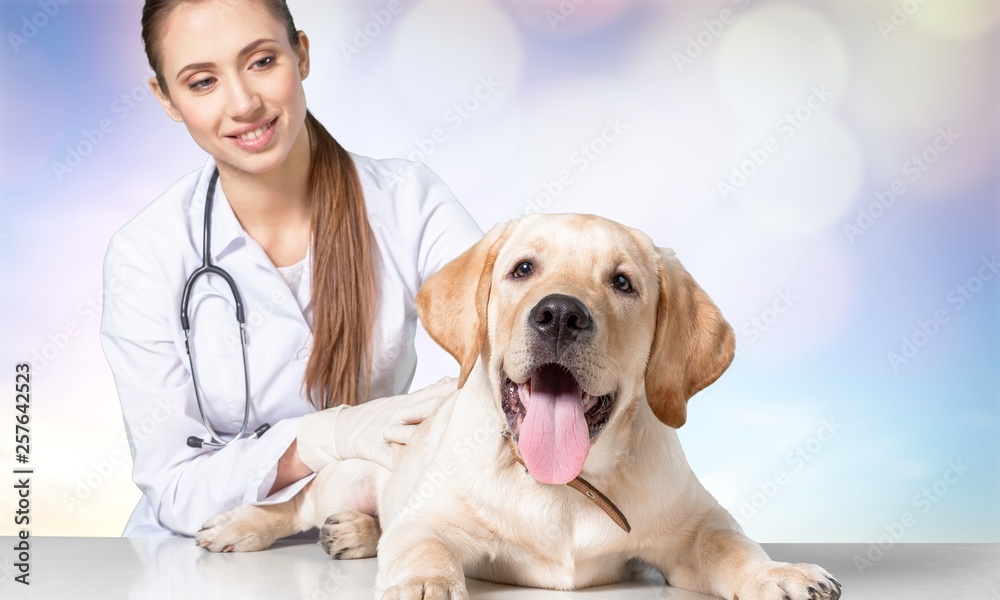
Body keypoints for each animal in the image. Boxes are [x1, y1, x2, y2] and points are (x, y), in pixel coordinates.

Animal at [195, 213, 836, 596]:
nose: (560, 314)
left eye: (623, 282)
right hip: (349, 472)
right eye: (522, 269)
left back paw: (355, 532)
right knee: (297, 503)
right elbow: (421, 544)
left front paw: (777, 572)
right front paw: (424, 584)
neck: (566, 486)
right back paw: (243, 525)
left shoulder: (692, 525)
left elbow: (729, 542)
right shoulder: (432, 518)